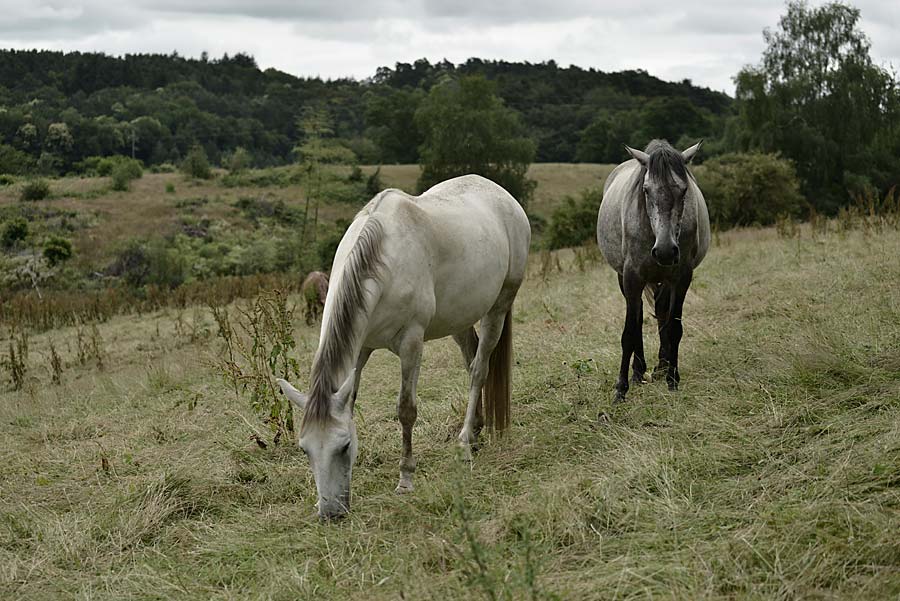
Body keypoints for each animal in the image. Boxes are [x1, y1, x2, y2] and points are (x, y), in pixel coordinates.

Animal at [274, 175, 528, 520]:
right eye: (305, 449)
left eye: (343, 446)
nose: (330, 513)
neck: (383, 261)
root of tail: (503, 195)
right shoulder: (362, 349)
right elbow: (352, 402)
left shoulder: (411, 344)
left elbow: (406, 410)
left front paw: (406, 478)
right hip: (459, 318)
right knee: (470, 358)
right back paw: (475, 433)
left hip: (499, 307)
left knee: (479, 370)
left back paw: (464, 444)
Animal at [596, 140, 712, 400]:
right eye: (646, 190)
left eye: (683, 190)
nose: (666, 251)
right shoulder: (631, 278)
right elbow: (629, 332)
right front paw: (621, 389)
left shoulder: (681, 278)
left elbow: (674, 327)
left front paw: (672, 379)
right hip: (625, 278)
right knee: (639, 315)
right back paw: (639, 371)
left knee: (661, 312)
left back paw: (662, 366)